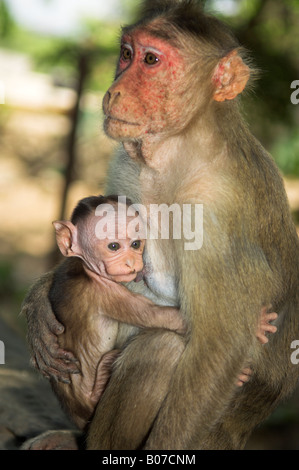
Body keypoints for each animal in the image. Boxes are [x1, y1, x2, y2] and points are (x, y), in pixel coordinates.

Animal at [22, 0, 299, 450]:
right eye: (126, 54)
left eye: (151, 61)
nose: (114, 90)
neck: (178, 149)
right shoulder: (126, 159)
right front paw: (39, 307)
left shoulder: (216, 212)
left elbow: (217, 348)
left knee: (160, 352)